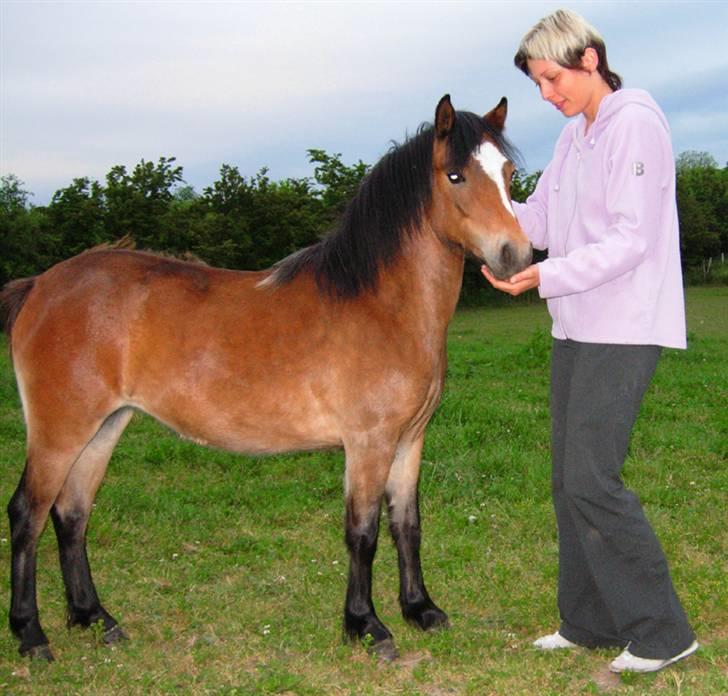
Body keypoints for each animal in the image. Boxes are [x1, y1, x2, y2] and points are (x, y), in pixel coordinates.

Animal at [1, 94, 536, 664]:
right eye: (455, 175)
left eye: (507, 173)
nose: (516, 254)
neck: (380, 305)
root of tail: (40, 286)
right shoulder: (367, 444)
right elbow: (363, 532)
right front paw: (366, 625)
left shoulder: (409, 440)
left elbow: (406, 525)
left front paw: (421, 610)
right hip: (60, 432)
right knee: (28, 515)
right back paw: (31, 634)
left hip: (104, 427)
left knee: (72, 514)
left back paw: (94, 618)